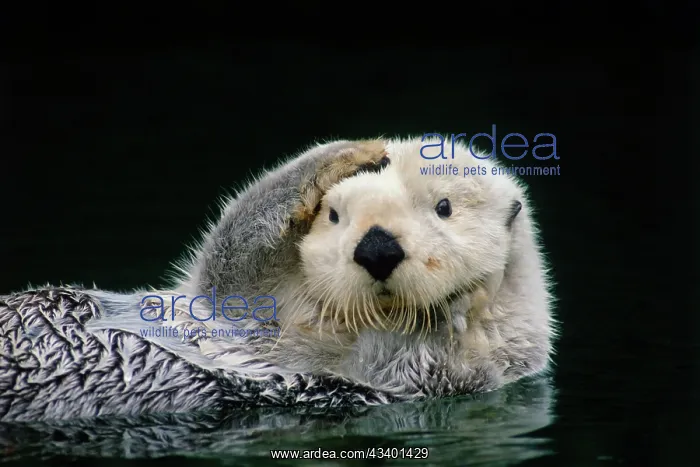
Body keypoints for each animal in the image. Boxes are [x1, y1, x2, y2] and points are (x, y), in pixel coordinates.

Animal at [0, 137, 555, 421]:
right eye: (334, 215)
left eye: (443, 207)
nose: (378, 247)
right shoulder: (231, 303)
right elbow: (232, 256)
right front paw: (355, 151)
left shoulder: (419, 375)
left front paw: (464, 305)